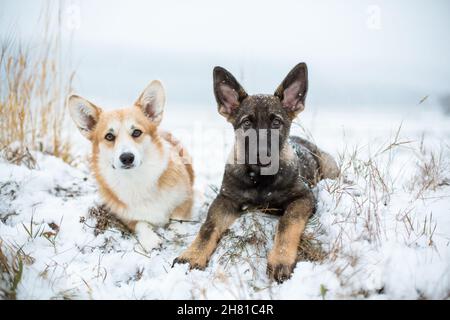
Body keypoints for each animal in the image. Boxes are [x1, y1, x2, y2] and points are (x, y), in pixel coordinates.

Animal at [68, 81, 193, 251]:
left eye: (136, 132)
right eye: (109, 136)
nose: (127, 158)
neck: (135, 177)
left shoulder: (187, 198)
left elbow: (178, 216)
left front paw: (177, 231)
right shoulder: (126, 216)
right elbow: (140, 223)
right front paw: (150, 240)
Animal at [174, 63, 340, 282]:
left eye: (276, 122)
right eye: (247, 123)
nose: (262, 154)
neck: (260, 179)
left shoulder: (304, 197)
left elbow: (288, 222)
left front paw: (280, 259)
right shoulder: (225, 200)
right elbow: (208, 227)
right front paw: (192, 255)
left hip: (329, 167)